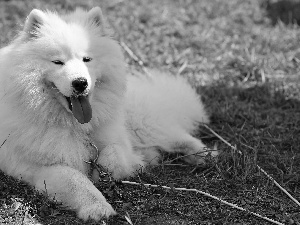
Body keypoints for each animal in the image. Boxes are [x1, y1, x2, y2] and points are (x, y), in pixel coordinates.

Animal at [0, 7, 216, 221]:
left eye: (87, 59)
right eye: (58, 62)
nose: (80, 83)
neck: (77, 126)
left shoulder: (118, 141)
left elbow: (113, 154)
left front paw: (108, 172)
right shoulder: (38, 168)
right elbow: (76, 180)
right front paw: (97, 207)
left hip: (142, 125)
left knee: (179, 138)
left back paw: (206, 155)